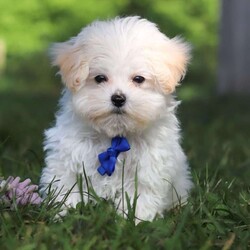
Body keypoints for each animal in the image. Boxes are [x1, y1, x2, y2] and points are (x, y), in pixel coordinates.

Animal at [40, 16, 193, 222]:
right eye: (100, 78)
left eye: (138, 79)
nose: (118, 98)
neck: (115, 135)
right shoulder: (67, 156)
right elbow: (65, 184)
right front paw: (62, 213)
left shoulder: (148, 167)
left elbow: (141, 194)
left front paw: (136, 220)